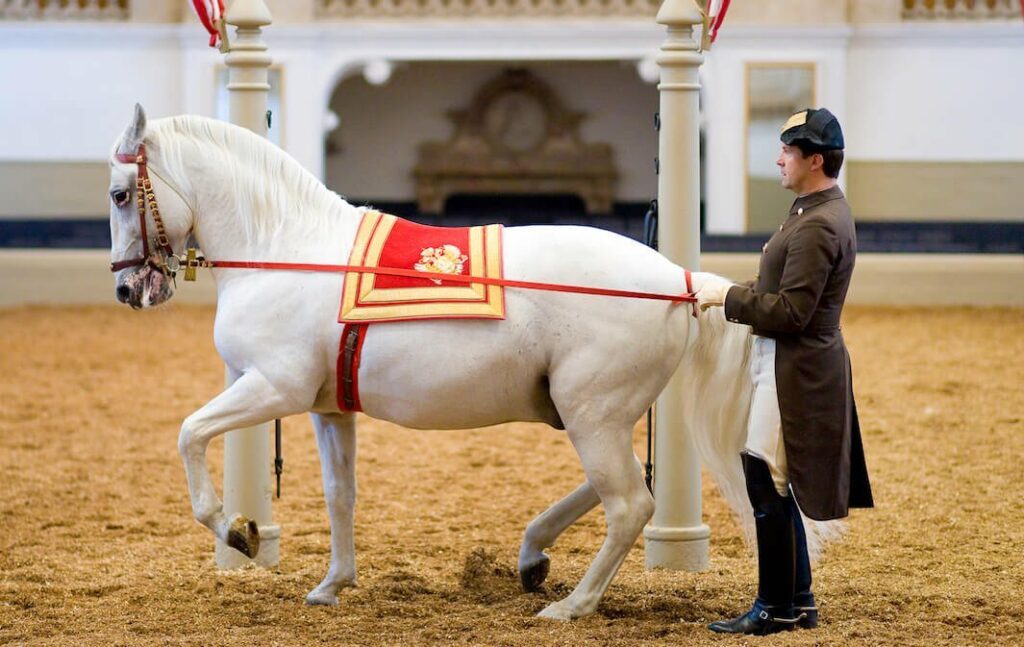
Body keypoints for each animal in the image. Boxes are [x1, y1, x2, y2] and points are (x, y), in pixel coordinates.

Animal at [112, 103, 831, 618]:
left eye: (121, 194)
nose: (129, 289)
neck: (289, 250)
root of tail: (676, 279)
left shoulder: (272, 388)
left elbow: (189, 434)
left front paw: (237, 531)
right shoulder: (326, 408)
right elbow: (341, 494)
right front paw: (332, 583)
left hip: (590, 413)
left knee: (630, 501)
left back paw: (572, 605)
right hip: (588, 411)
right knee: (622, 487)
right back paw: (533, 556)